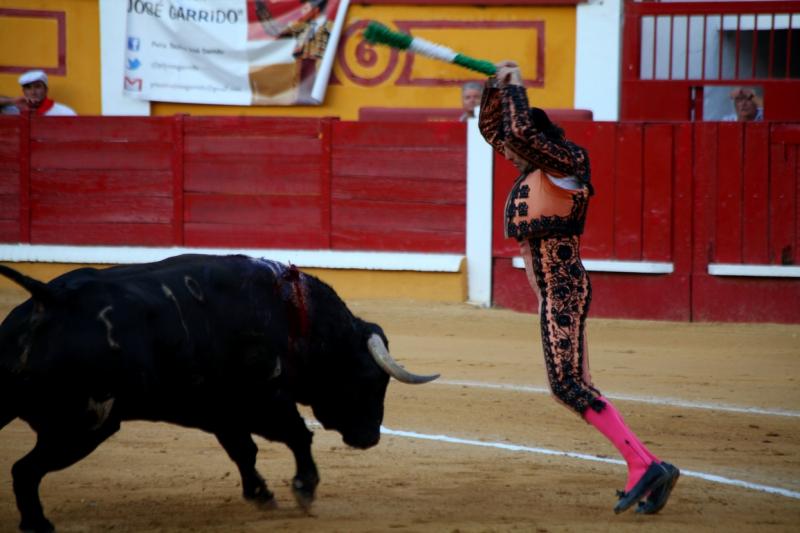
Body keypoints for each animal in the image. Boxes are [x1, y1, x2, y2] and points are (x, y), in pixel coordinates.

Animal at [0, 255, 438, 532]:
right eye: (370, 379)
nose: (370, 437)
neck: (294, 316)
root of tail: (49, 299)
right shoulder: (261, 400)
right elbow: (297, 435)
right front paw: (304, 488)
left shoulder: (220, 410)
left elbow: (244, 450)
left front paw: (261, 494)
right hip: (84, 426)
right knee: (24, 470)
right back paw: (38, 523)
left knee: (24, 469)